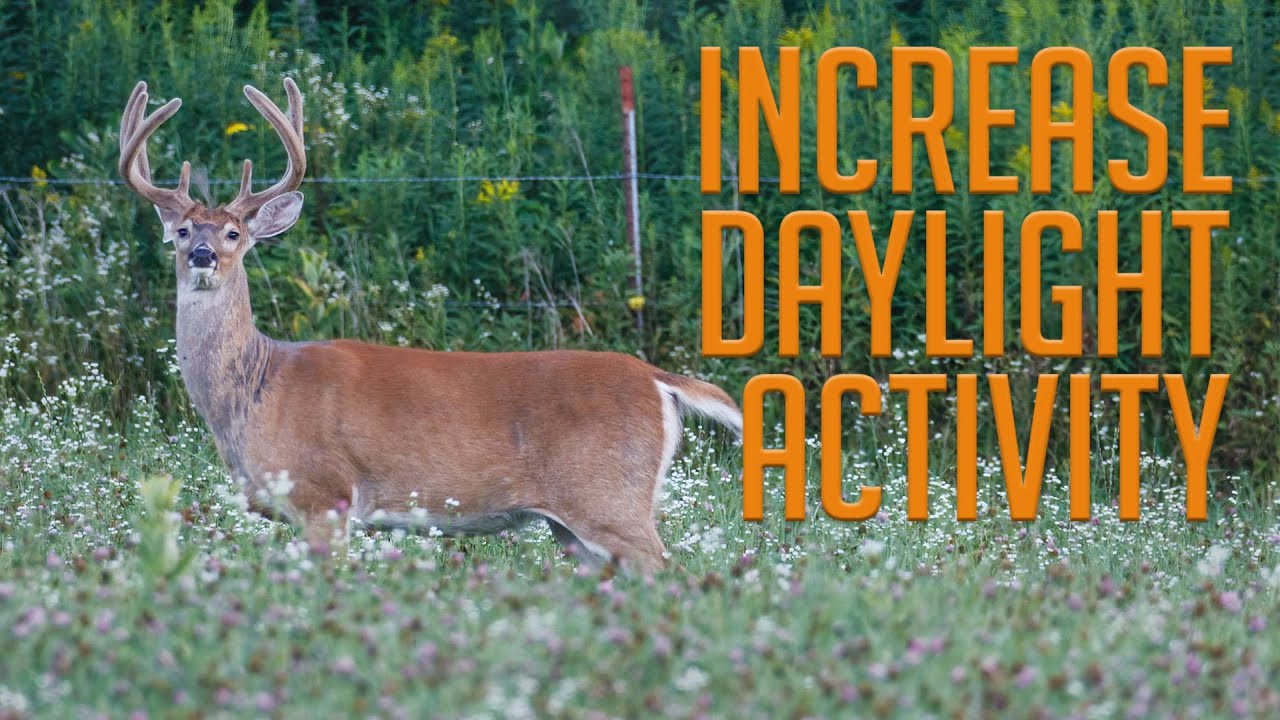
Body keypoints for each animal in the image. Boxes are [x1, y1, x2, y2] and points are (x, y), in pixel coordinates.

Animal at [118, 78, 742, 574]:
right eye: (179, 231)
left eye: (234, 234)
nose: (202, 256)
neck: (256, 388)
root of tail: (657, 380)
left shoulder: (326, 494)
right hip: (573, 525)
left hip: (609, 497)